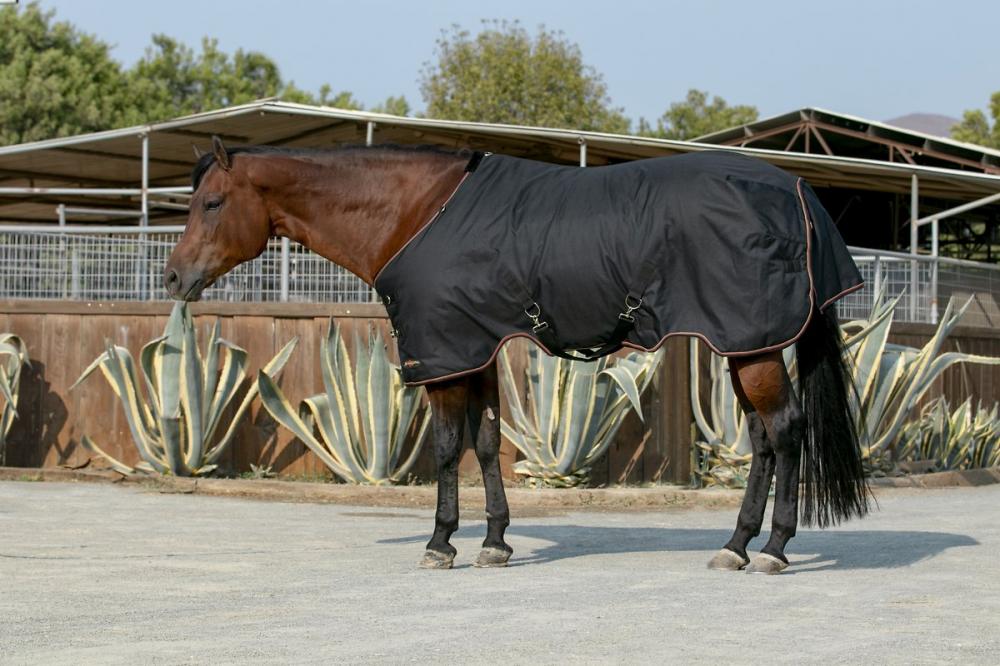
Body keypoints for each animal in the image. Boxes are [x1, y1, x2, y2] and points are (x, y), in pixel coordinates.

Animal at [164, 135, 868, 572]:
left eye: (213, 202)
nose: (174, 278)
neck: (418, 211)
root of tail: (798, 190)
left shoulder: (444, 356)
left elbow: (447, 448)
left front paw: (441, 542)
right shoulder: (476, 349)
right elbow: (484, 443)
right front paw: (496, 542)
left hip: (753, 348)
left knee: (785, 430)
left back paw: (771, 548)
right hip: (743, 344)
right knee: (764, 439)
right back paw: (738, 544)